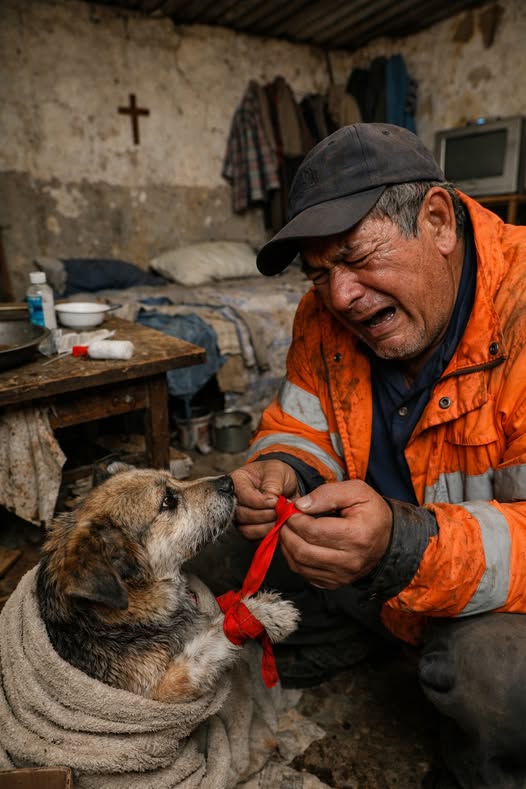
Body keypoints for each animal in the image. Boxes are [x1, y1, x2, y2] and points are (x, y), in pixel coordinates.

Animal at [37, 466, 299, 702]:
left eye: (174, 478)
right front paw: (263, 612)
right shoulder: (166, 686)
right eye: (168, 501)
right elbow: (214, 636)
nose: (230, 482)